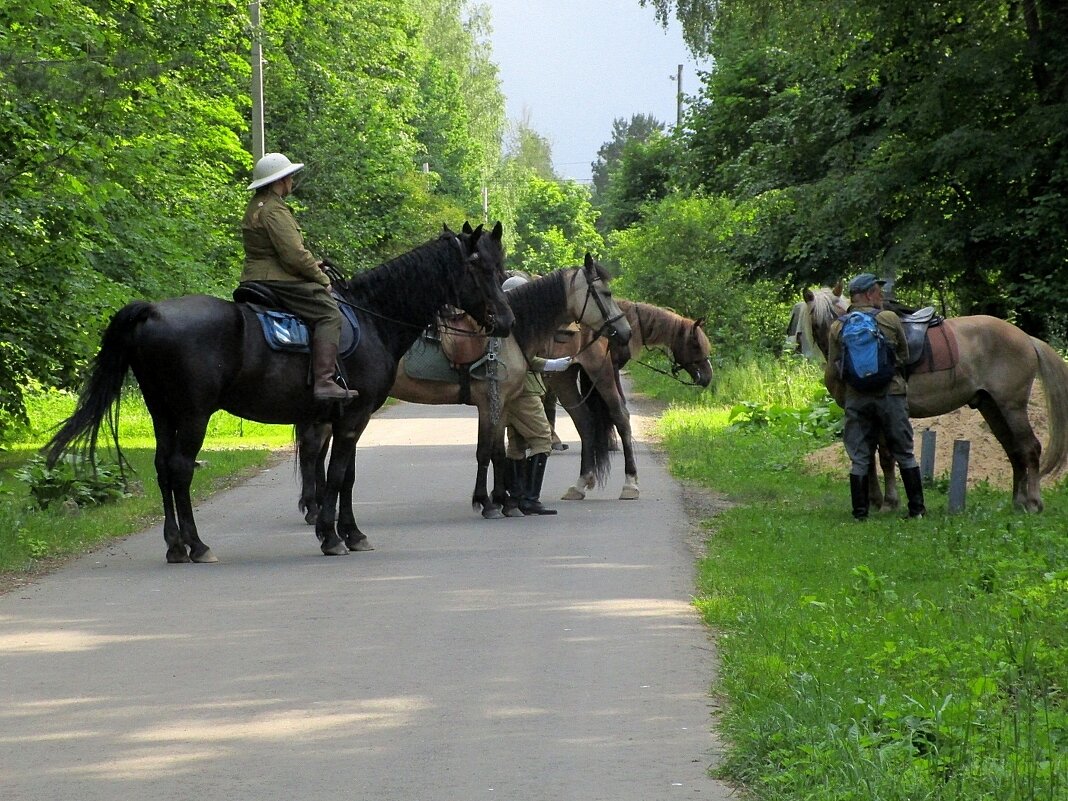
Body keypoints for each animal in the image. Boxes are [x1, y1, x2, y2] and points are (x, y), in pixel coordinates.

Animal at [48, 223, 514, 559]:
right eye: (483, 269)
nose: (507, 321)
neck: (374, 317)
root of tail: (152, 312)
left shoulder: (346, 419)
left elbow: (344, 475)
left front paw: (347, 531)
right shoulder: (354, 416)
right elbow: (338, 474)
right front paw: (334, 537)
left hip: (162, 413)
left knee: (163, 469)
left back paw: (175, 544)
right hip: (192, 415)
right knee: (180, 469)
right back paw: (196, 545)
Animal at [299, 254, 632, 523]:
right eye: (605, 293)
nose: (625, 332)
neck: (509, 335)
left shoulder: (502, 403)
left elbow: (499, 451)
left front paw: (505, 501)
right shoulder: (488, 403)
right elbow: (486, 451)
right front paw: (488, 503)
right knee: (314, 448)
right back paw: (314, 508)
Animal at [803, 286, 1068, 514]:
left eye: (840, 314)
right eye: (816, 322)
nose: (840, 359)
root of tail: (1026, 338)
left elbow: (885, 457)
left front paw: (888, 502)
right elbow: (867, 457)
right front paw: (874, 500)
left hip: (1012, 408)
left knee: (1030, 448)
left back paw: (1033, 502)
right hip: (992, 408)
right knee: (1014, 451)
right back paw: (1018, 502)